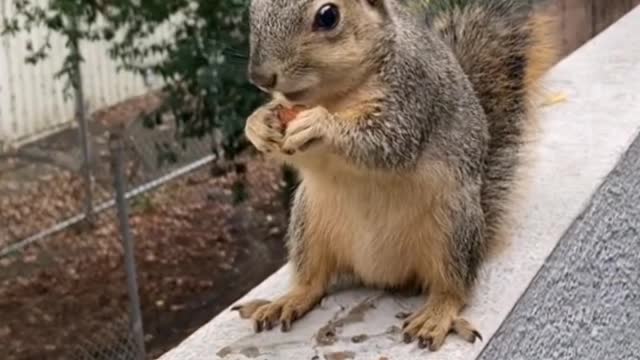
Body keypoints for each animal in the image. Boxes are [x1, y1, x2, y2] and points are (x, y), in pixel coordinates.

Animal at [231, 0, 556, 352]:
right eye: (253, 10)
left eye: (328, 16)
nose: (260, 77)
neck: (336, 95)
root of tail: (384, 274)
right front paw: (257, 124)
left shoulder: (412, 95)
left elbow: (386, 142)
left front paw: (321, 125)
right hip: (309, 224)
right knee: (313, 281)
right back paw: (288, 301)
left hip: (452, 227)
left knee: (453, 288)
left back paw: (436, 316)